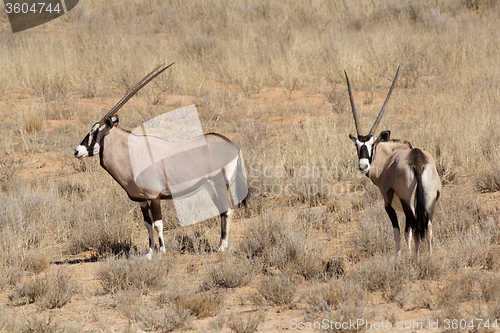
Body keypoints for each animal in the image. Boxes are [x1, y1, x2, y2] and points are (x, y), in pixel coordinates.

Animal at [74, 63, 246, 258]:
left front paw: (162, 251)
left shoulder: (154, 197)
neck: (129, 152)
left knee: (227, 209)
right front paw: (149, 253)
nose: (77, 151)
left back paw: (222, 246)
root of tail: (232, 145)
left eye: (96, 132)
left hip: (219, 182)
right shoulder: (141, 200)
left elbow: (158, 223)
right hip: (210, 185)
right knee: (222, 209)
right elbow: (147, 224)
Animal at [344, 68, 442, 260]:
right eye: (357, 145)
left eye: (372, 145)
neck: (389, 158)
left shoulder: (388, 204)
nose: (363, 166)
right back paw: (429, 258)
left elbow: (398, 232)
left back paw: (416, 259)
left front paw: (400, 258)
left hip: (407, 202)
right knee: (427, 227)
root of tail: (417, 161)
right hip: (429, 201)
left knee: (414, 227)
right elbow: (408, 232)